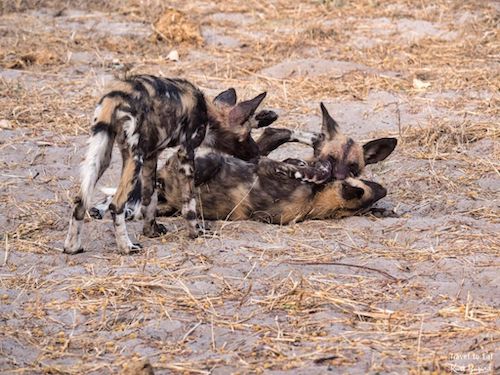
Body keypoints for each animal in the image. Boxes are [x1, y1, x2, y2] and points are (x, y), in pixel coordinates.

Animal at [64, 75, 274, 254]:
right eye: (247, 134)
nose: (256, 153)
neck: (208, 114)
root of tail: (117, 95)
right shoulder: (186, 153)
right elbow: (189, 204)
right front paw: (196, 232)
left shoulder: (151, 158)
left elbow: (149, 200)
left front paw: (151, 231)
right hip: (134, 158)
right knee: (117, 204)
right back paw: (126, 248)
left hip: (103, 154)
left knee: (80, 200)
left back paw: (73, 247)